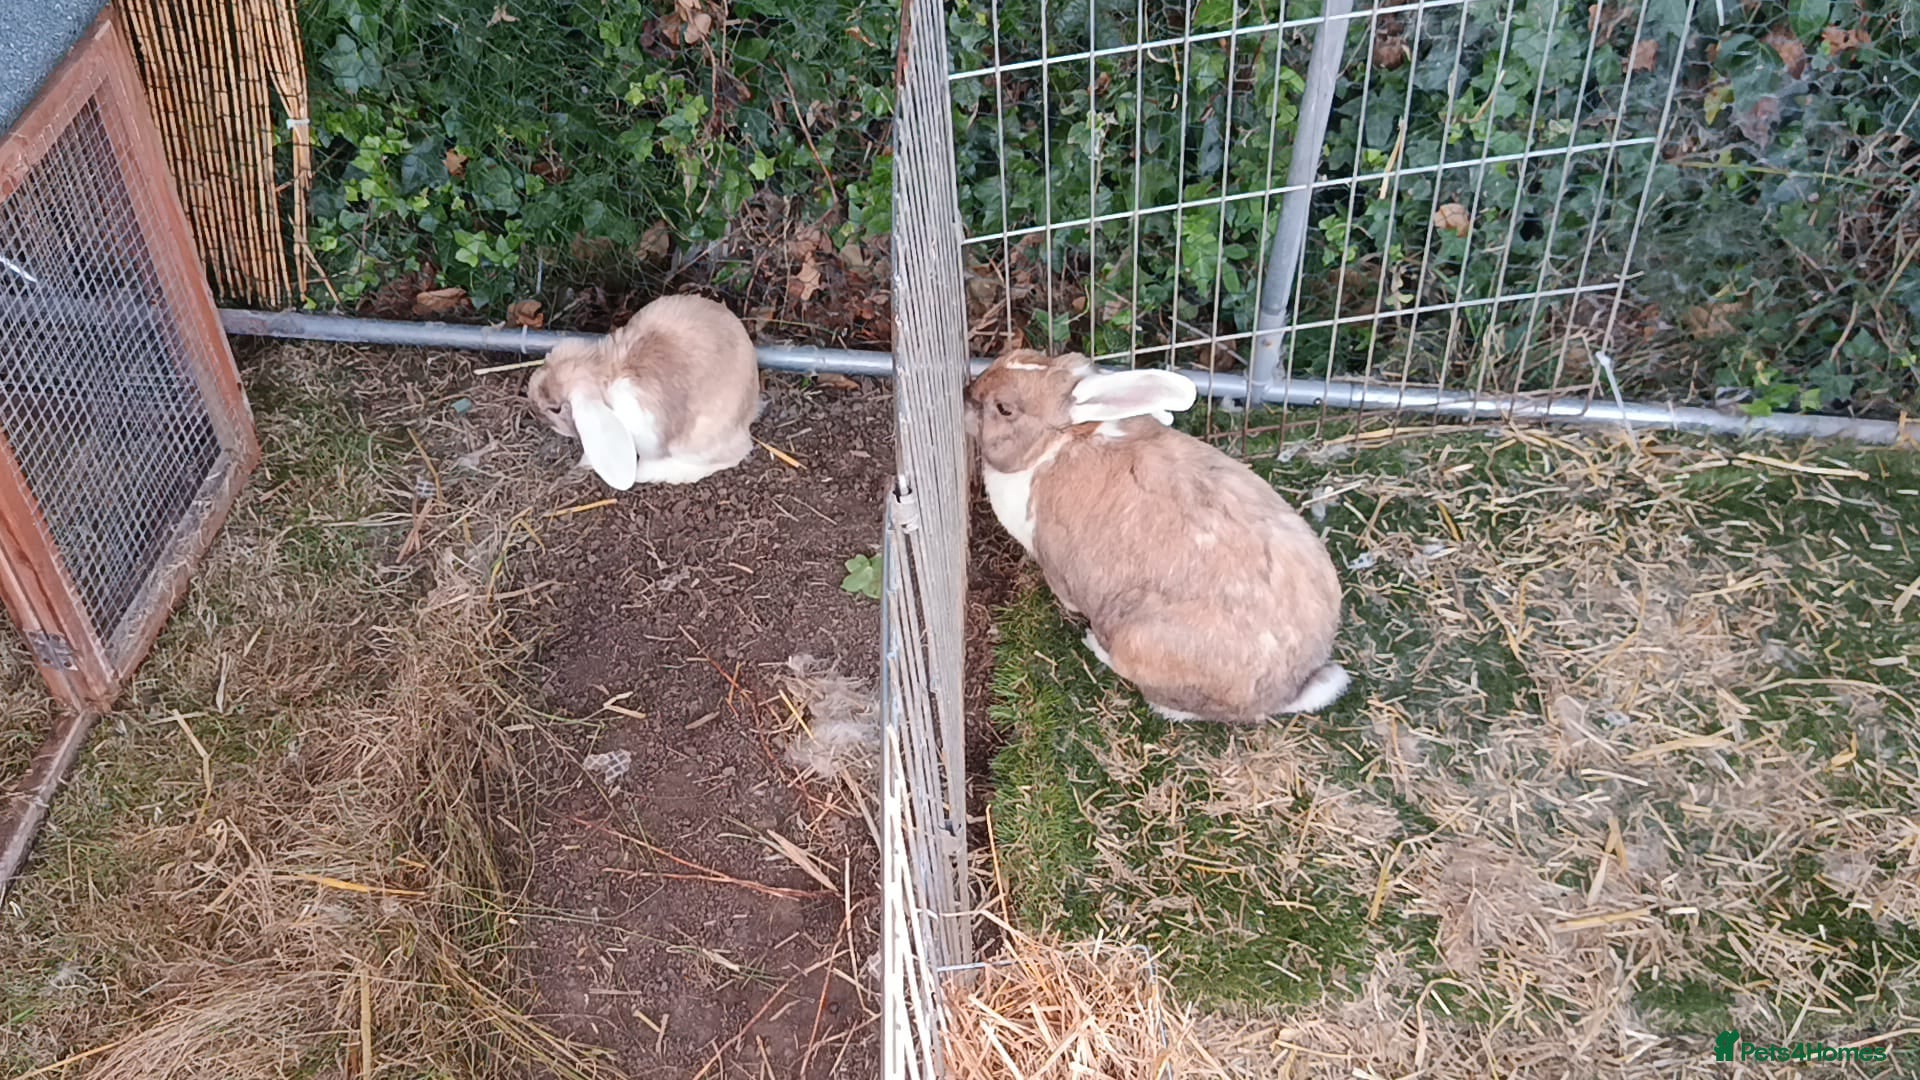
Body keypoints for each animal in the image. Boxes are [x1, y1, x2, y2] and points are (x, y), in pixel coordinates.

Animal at [965, 348, 1348, 725]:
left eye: (1004, 408)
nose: (969, 393)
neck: (1055, 442)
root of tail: (1288, 690)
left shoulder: (1056, 569)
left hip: (1136, 641)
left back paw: (1095, 644)